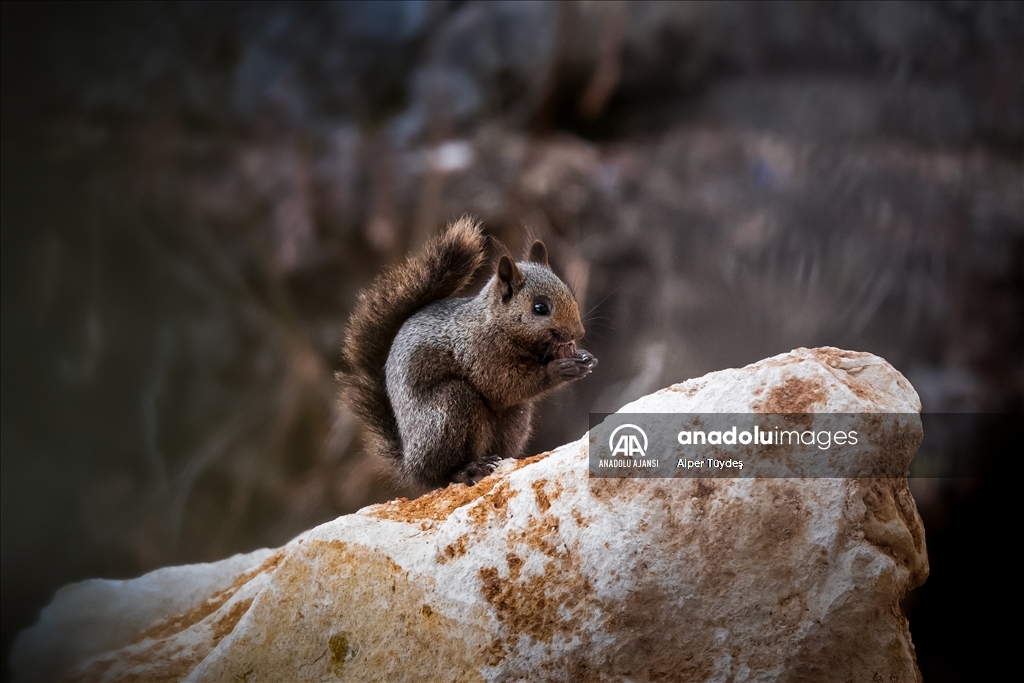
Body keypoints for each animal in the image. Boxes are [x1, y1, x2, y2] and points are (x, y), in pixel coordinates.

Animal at [342, 216, 598, 489]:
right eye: (540, 307)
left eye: (569, 292)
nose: (578, 333)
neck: (494, 322)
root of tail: (410, 465)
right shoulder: (479, 353)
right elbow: (504, 386)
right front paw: (561, 369)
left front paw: (584, 358)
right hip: (449, 411)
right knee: (441, 473)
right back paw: (467, 470)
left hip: (515, 418)